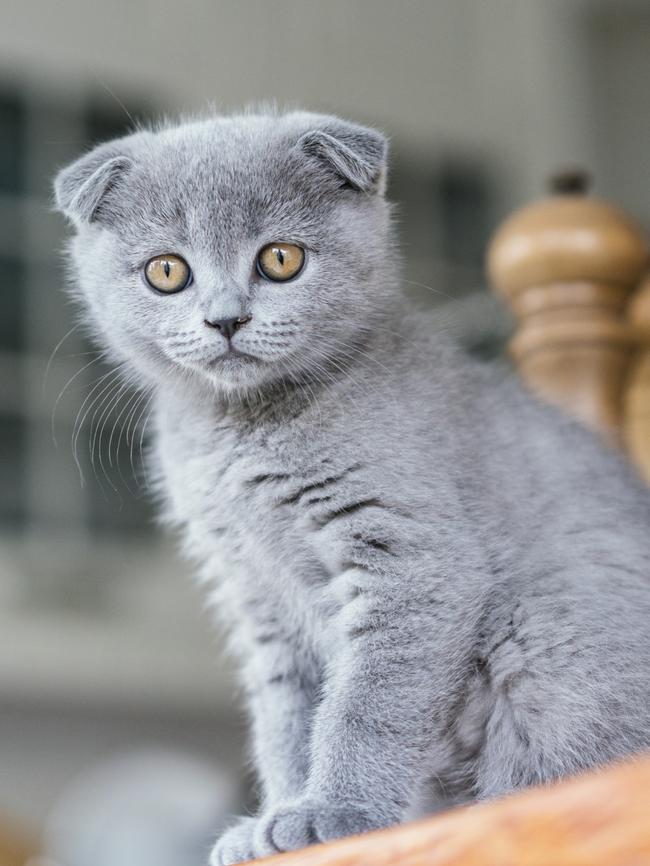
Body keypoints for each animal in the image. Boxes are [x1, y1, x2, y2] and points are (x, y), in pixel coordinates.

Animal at [53, 111, 648, 860]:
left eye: (280, 259)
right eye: (167, 271)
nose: (226, 319)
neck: (244, 432)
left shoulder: (410, 559)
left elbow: (364, 703)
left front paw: (333, 813)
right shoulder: (258, 596)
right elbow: (285, 717)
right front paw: (276, 817)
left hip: (548, 633)